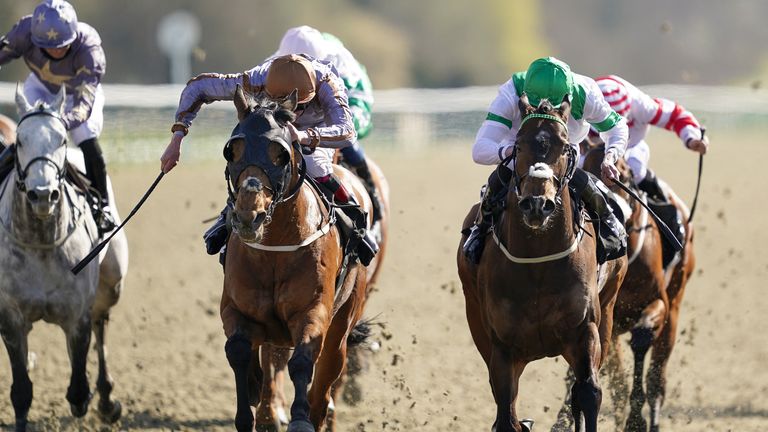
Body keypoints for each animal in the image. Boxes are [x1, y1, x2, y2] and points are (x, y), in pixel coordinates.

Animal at [0, 86, 129, 430]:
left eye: (60, 139)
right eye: (20, 141)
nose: (42, 195)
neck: (41, 243)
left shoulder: (77, 313)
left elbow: (78, 390)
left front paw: (90, 398)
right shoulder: (11, 316)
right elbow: (21, 391)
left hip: (110, 283)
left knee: (101, 325)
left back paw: (107, 400)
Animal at [218, 85, 374, 432]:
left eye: (280, 154)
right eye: (232, 152)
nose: (248, 217)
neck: (276, 248)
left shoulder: (313, 311)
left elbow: (302, 361)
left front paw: (300, 419)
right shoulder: (235, 308)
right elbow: (238, 350)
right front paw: (248, 407)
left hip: (343, 324)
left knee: (324, 385)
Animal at [456, 94, 624, 432]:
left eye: (564, 147)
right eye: (519, 146)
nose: (537, 204)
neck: (538, 263)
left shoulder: (585, 331)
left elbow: (587, 393)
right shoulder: (502, 349)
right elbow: (506, 415)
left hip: (609, 309)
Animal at [580, 143, 700, 432]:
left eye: (621, 175)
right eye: (585, 169)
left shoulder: (658, 303)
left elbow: (643, 337)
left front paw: (637, 418)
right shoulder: (605, 316)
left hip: (674, 308)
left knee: (658, 378)